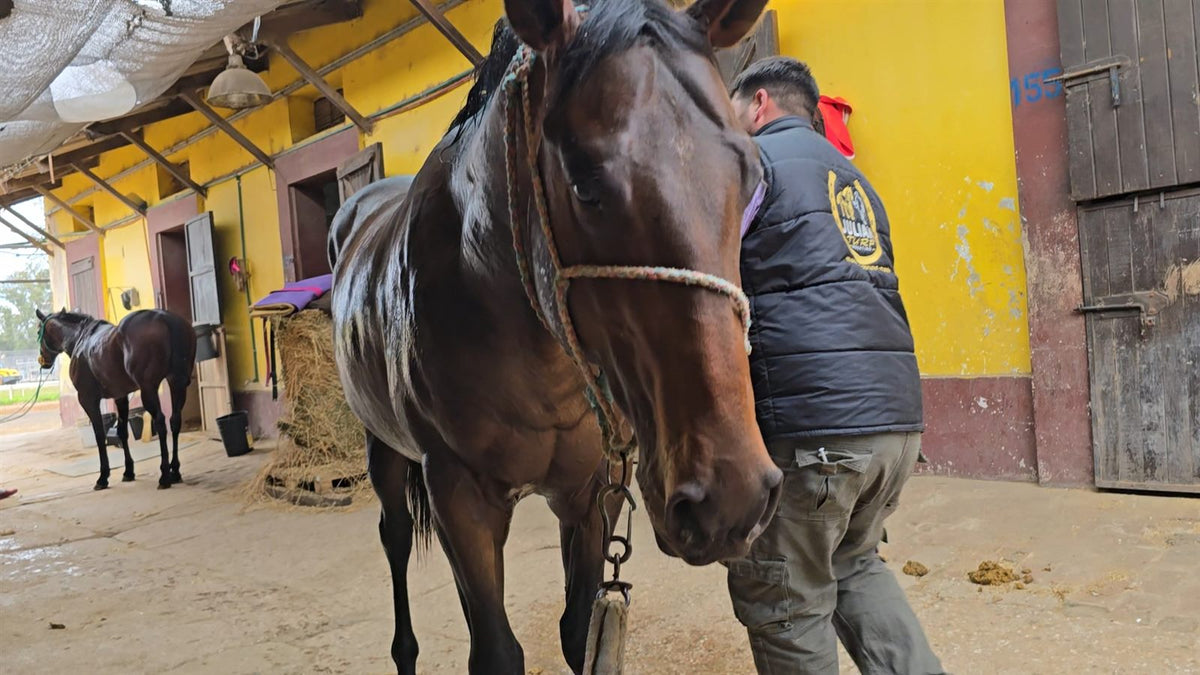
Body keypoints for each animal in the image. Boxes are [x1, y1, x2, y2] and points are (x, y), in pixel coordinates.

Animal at [35, 308, 197, 490]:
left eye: (38, 332)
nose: (43, 361)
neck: (79, 339)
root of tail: (166, 318)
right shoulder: (120, 396)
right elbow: (121, 432)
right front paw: (128, 472)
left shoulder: (87, 399)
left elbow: (100, 435)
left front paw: (103, 477)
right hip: (177, 382)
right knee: (175, 421)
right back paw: (175, 471)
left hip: (148, 389)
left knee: (161, 422)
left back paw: (164, 476)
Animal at [329, 0, 780, 671]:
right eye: (584, 182)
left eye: (750, 174)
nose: (731, 497)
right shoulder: (458, 492)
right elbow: (495, 650)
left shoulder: (594, 490)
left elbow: (578, 630)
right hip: (382, 448)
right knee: (394, 539)